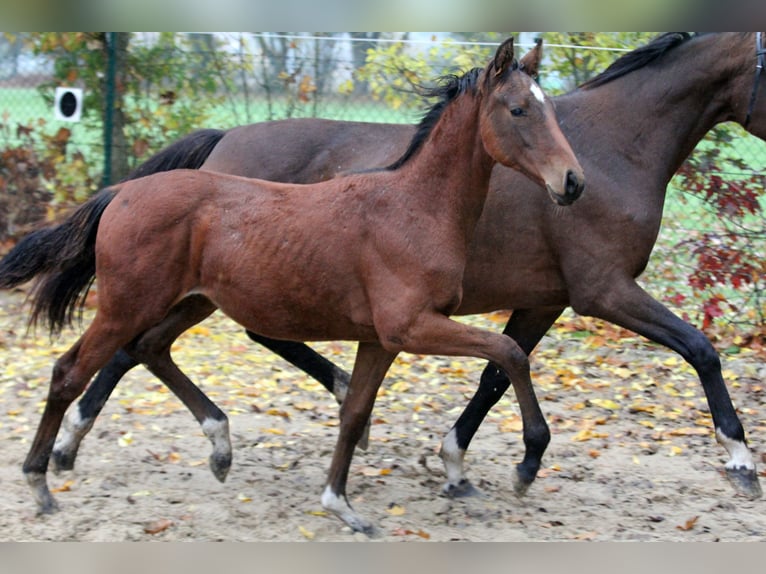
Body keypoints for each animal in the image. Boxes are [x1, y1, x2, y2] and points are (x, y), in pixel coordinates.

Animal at [0, 39, 588, 536]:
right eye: (518, 110)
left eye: (552, 111)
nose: (573, 182)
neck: (412, 208)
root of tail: (120, 191)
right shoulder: (412, 328)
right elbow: (509, 352)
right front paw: (528, 463)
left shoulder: (379, 339)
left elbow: (354, 413)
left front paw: (340, 504)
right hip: (127, 305)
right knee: (70, 371)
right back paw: (41, 482)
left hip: (193, 302)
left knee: (149, 349)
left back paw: (219, 446)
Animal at [24, 33, 766, 504]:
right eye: (518, 110)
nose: (570, 185)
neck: (617, 146)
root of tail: (219, 142)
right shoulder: (601, 291)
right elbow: (700, 350)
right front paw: (739, 460)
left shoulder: (546, 299)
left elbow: (499, 372)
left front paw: (461, 462)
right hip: (195, 289)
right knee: (134, 349)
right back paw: (68, 448)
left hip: (204, 291)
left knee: (150, 347)